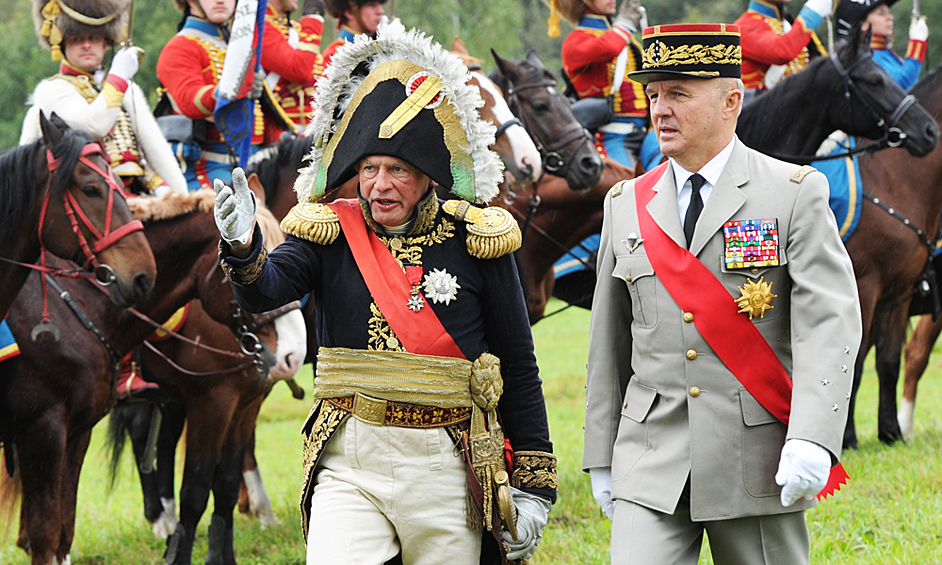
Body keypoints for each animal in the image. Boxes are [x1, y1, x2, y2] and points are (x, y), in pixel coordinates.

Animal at [0, 189, 288, 564]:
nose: (292, 353)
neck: (81, 301)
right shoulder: (213, 399)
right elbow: (197, 488)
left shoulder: (245, 400)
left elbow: (223, 482)